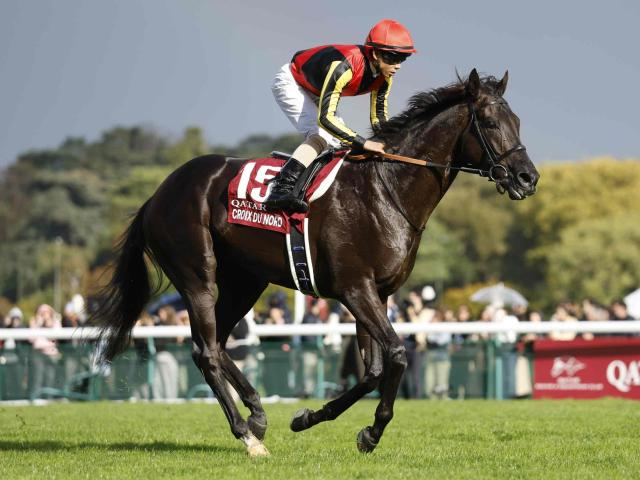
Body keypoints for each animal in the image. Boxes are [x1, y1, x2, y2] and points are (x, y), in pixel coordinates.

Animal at [92, 69, 539, 457]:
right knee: (205, 350)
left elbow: (372, 370)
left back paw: (257, 414)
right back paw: (247, 436)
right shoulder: (355, 289)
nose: (527, 178)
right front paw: (372, 432)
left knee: (217, 344)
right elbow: (396, 354)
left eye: (517, 121)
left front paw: (311, 418)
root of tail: (157, 195)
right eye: (490, 122)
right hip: (198, 276)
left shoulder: (376, 293)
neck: (387, 190)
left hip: (245, 281)